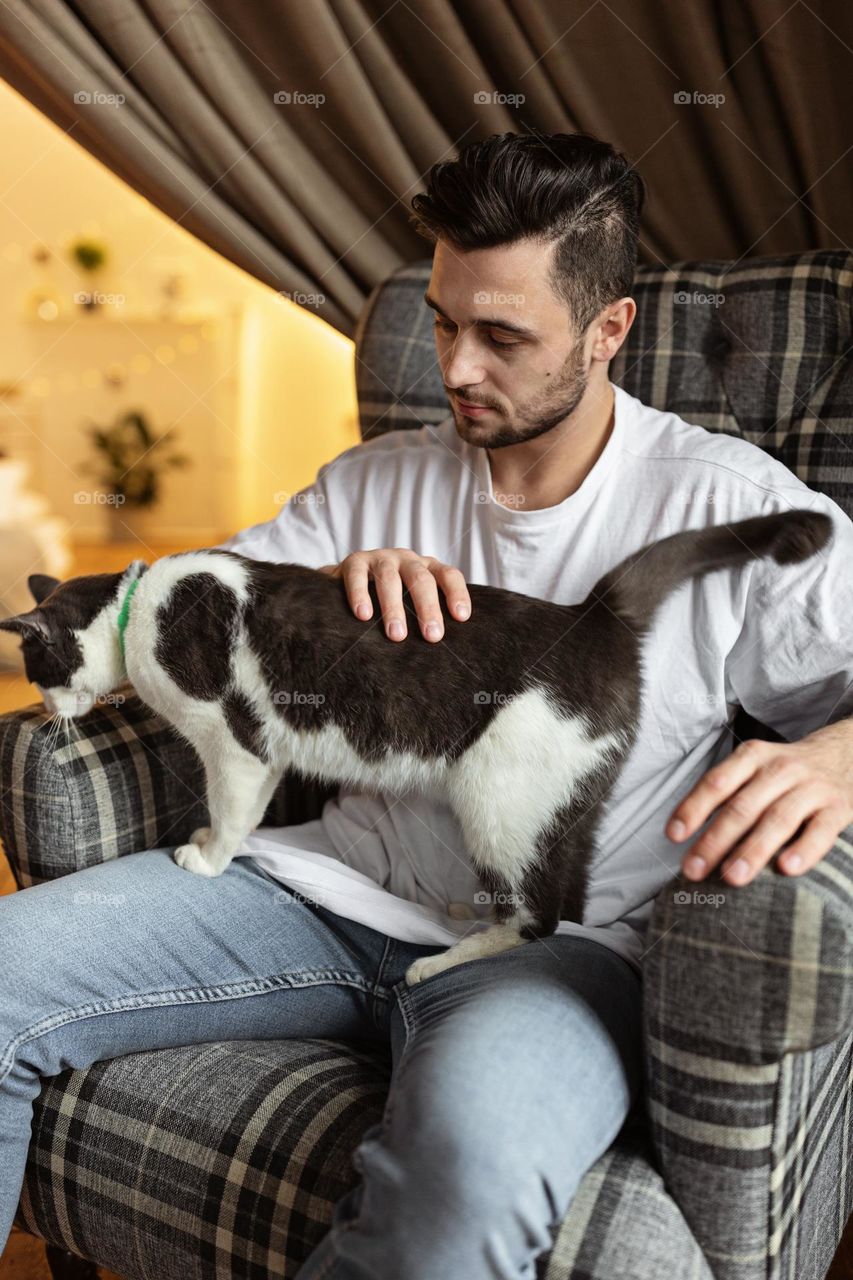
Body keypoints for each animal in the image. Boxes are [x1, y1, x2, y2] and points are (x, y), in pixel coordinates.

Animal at [0, 504, 824, 983]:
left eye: (36, 672)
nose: (47, 712)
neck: (137, 607)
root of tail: (591, 616)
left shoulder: (234, 744)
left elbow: (232, 812)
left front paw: (205, 857)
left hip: (501, 797)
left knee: (540, 916)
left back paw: (440, 963)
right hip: (564, 801)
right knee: (567, 893)